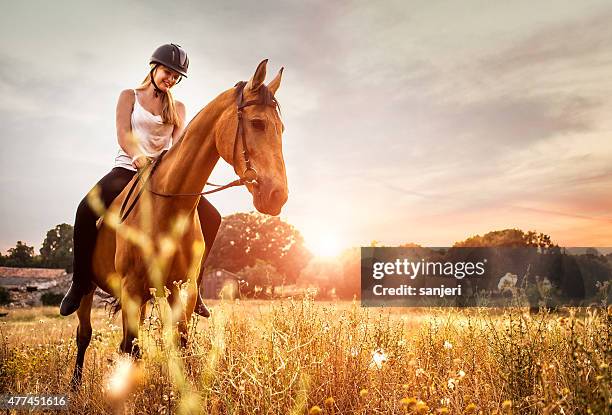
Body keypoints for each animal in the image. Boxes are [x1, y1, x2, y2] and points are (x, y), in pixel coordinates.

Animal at [70, 60, 290, 388]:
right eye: (258, 124)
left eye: (281, 128)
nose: (278, 195)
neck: (167, 206)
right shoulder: (131, 287)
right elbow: (130, 346)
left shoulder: (181, 289)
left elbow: (180, 343)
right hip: (91, 289)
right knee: (84, 334)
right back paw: (75, 384)